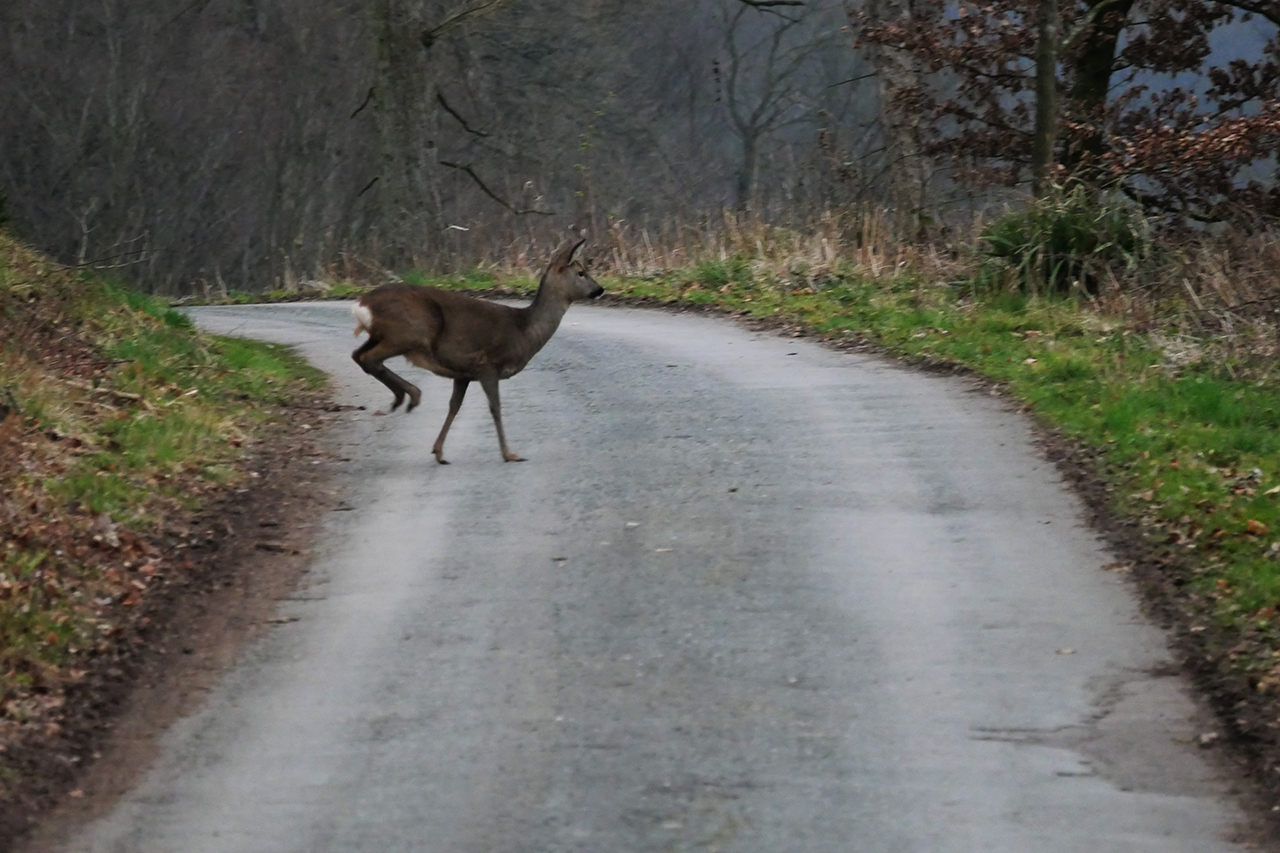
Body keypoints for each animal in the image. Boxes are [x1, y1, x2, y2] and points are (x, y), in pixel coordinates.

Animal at [350, 235, 604, 461]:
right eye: (581, 272)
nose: (600, 289)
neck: (524, 330)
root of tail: (362, 304)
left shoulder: (462, 373)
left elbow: (454, 406)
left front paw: (439, 452)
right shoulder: (488, 365)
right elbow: (495, 407)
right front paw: (509, 454)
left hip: (383, 335)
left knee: (357, 355)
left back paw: (403, 397)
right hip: (408, 333)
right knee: (370, 358)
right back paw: (410, 395)